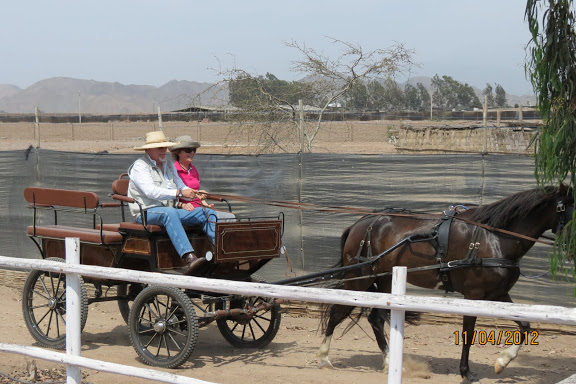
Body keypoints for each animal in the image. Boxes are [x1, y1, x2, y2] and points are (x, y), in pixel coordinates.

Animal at [318, 185, 572, 380]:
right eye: (568, 208)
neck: (493, 239)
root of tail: (360, 223)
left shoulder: (498, 295)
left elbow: (526, 326)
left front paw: (502, 362)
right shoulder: (473, 295)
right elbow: (468, 334)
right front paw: (466, 372)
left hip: (384, 280)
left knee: (375, 319)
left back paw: (389, 362)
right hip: (359, 280)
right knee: (337, 312)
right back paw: (324, 356)